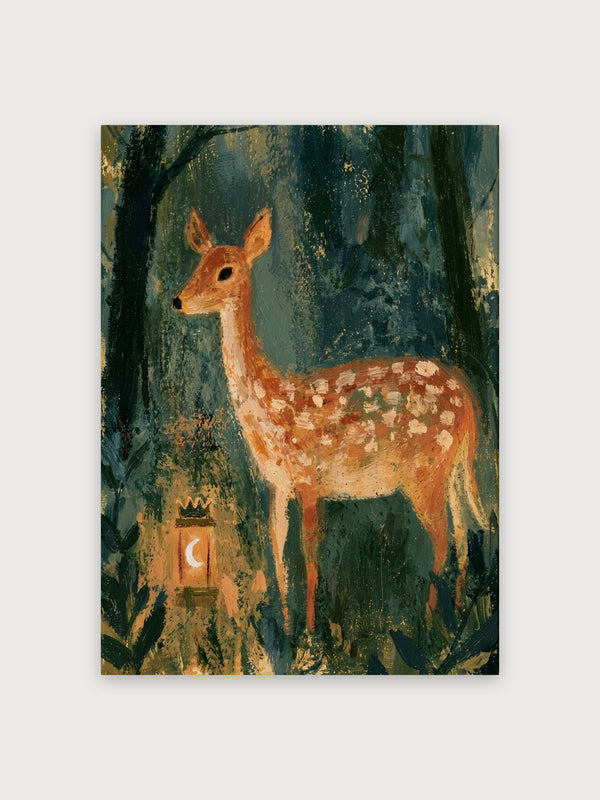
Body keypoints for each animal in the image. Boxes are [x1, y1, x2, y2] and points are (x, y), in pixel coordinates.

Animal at [173, 208, 487, 632]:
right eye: (198, 263)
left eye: (226, 271)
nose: (178, 300)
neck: (272, 406)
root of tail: (469, 401)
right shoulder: (277, 483)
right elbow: (277, 550)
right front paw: (286, 627)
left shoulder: (309, 476)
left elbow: (309, 554)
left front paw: (309, 632)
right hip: (449, 469)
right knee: (462, 532)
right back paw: (455, 618)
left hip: (422, 470)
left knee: (442, 539)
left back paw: (426, 623)